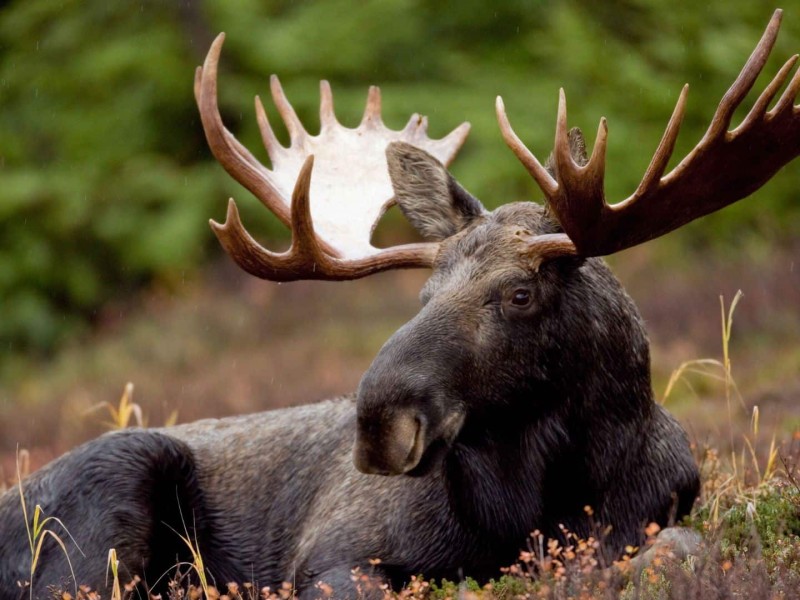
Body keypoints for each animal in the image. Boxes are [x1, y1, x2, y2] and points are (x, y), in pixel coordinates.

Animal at [1, 9, 798, 599]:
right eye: (423, 291)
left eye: (520, 293)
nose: (380, 422)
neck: (541, 501)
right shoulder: (334, 555)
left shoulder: (659, 516)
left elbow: (679, 549)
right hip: (107, 497)